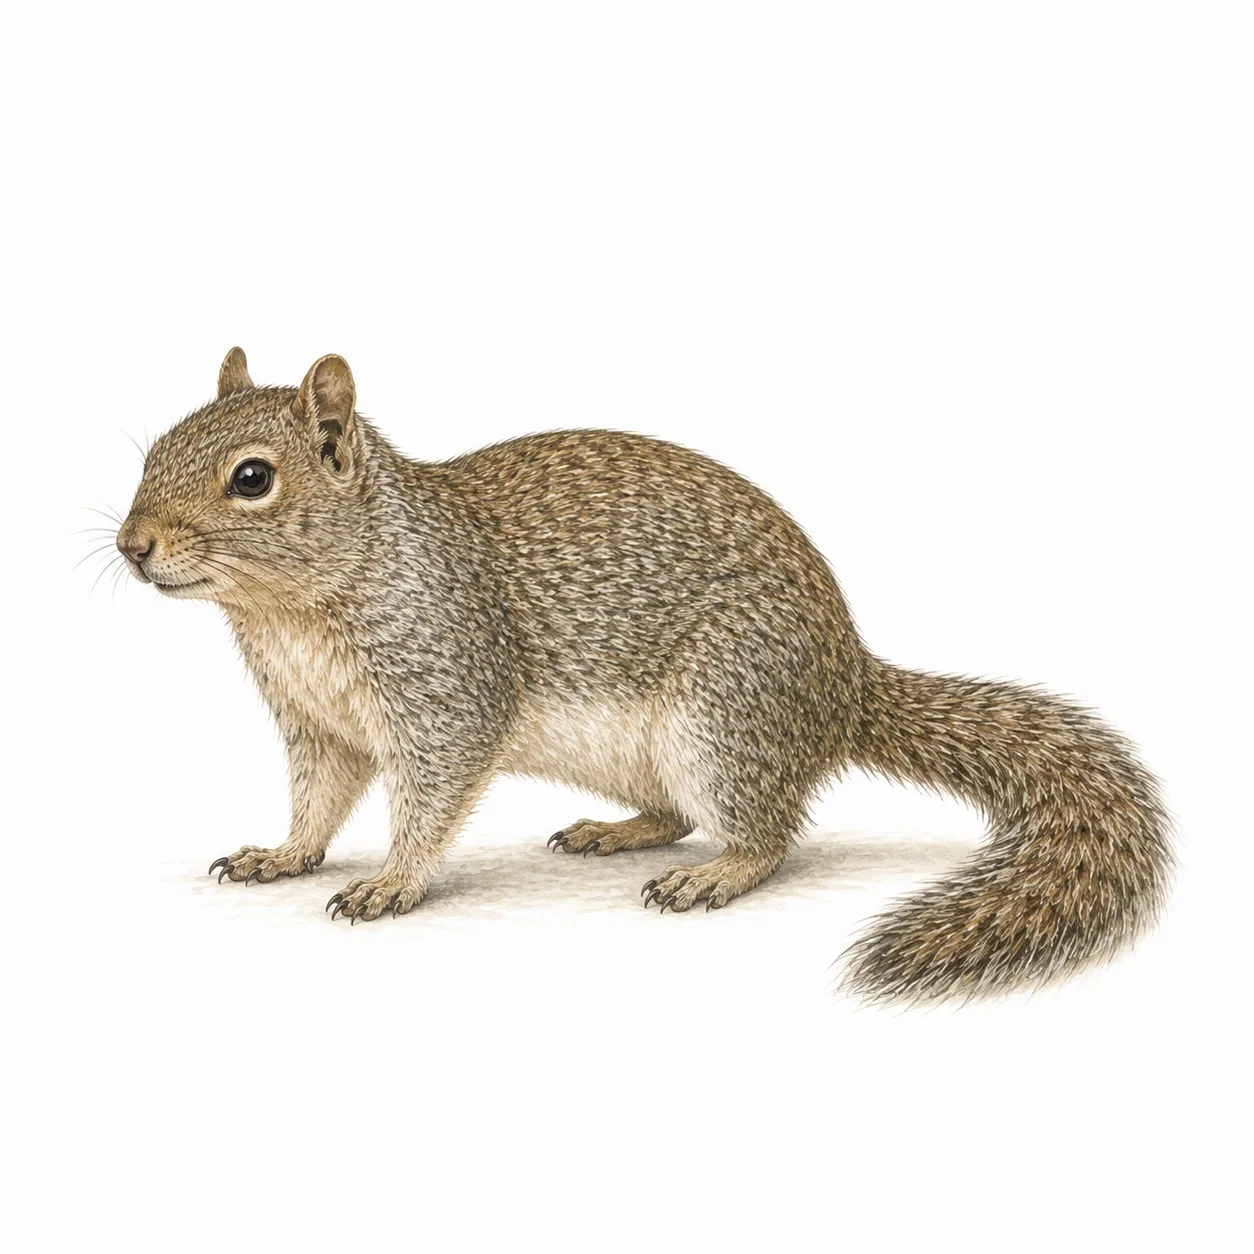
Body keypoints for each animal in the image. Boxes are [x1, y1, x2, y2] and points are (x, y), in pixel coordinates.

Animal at [115, 348, 1174, 1005]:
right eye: (155, 449)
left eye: (253, 478)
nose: (131, 545)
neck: (294, 610)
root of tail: (844, 688)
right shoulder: (318, 721)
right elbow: (319, 798)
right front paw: (283, 854)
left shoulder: (448, 681)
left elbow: (430, 798)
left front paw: (391, 883)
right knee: (675, 812)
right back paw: (615, 832)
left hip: (724, 716)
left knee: (768, 832)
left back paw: (713, 876)